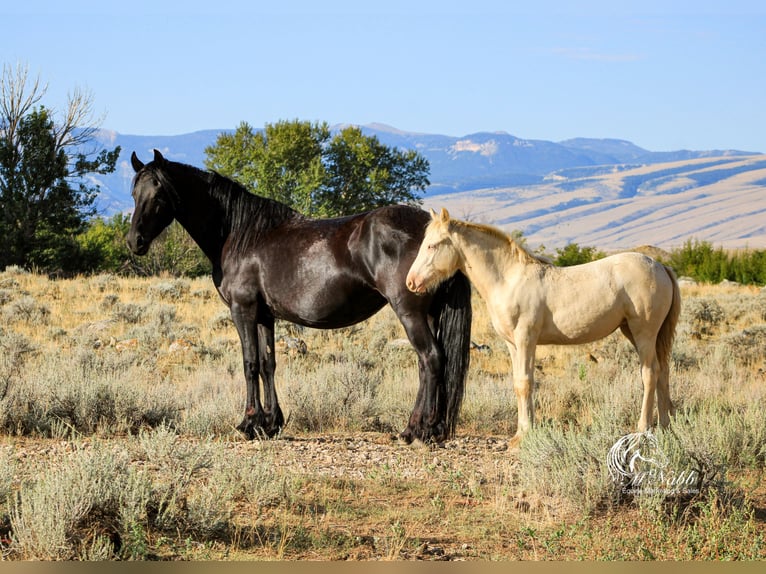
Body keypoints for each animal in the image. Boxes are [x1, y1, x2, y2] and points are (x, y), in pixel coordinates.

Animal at [129, 151, 472, 444]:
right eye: (135, 194)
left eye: (158, 194)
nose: (135, 242)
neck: (240, 234)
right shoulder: (265, 315)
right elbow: (268, 363)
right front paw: (271, 424)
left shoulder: (243, 310)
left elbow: (249, 363)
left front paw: (249, 423)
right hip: (430, 313)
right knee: (429, 363)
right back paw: (427, 427)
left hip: (410, 312)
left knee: (430, 358)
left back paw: (417, 431)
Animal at [408, 209, 684, 448]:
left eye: (432, 245)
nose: (411, 282)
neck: (509, 279)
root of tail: (660, 266)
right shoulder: (512, 345)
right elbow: (518, 383)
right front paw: (520, 433)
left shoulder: (526, 340)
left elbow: (525, 383)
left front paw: (524, 436)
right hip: (636, 333)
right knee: (662, 372)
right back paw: (665, 427)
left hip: (644, 332)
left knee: (649, 374)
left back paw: (642, 430)